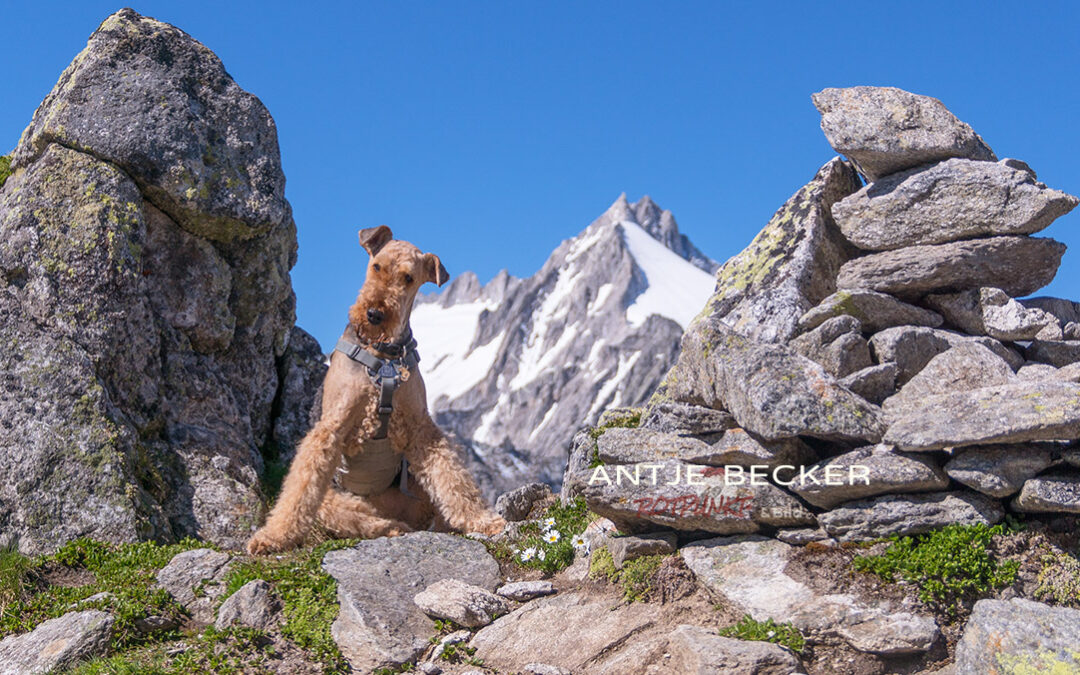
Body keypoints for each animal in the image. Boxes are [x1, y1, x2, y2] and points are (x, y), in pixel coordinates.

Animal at [248, 226, 505, 552]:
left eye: (408, 278)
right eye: (377, 266)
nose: (374, 314)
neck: (383, 356)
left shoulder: (420, 426)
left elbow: (452, 477)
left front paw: (482, 519)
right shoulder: (332, 425)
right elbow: (299, 490)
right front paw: (273, 536)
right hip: (331, 499)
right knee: (351, 514)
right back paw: (391, 527)